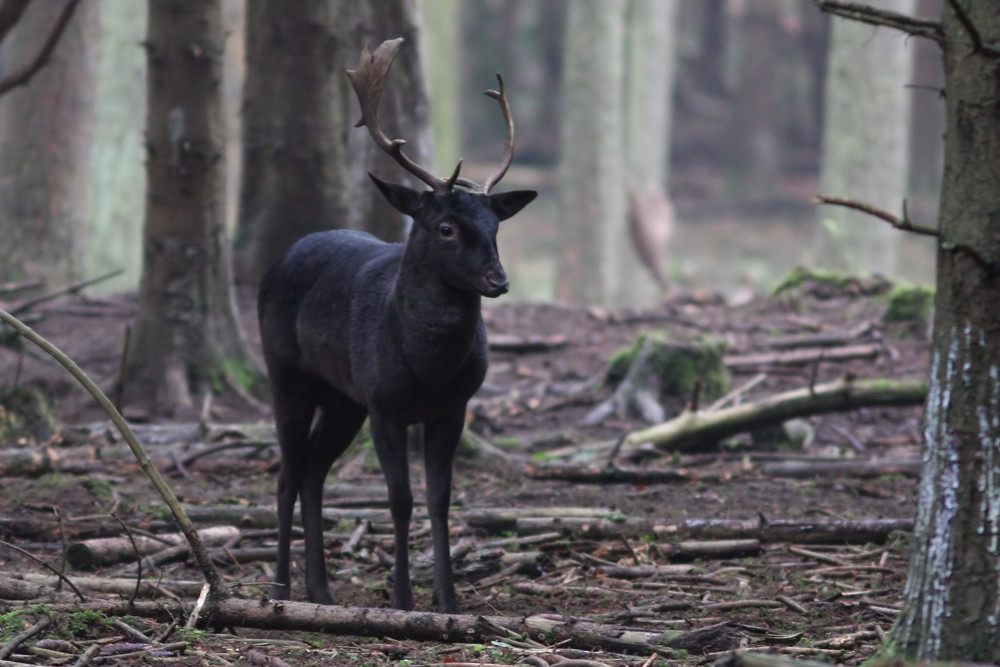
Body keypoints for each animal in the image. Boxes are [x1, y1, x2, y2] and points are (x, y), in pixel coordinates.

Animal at [260, 39, 540, 616]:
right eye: (446, 227)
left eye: (495, 225)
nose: (498, 280)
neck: (429, 369)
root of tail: (277, 262)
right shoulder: (385, 403)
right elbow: (400, 498)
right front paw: (402, 598)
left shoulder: (453, 407)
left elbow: (440, 498)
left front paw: (449, 600)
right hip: (286, 374)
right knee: (287, 473)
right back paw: (278, 589)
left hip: (343, 398)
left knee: (314, 471)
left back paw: (320, 590)